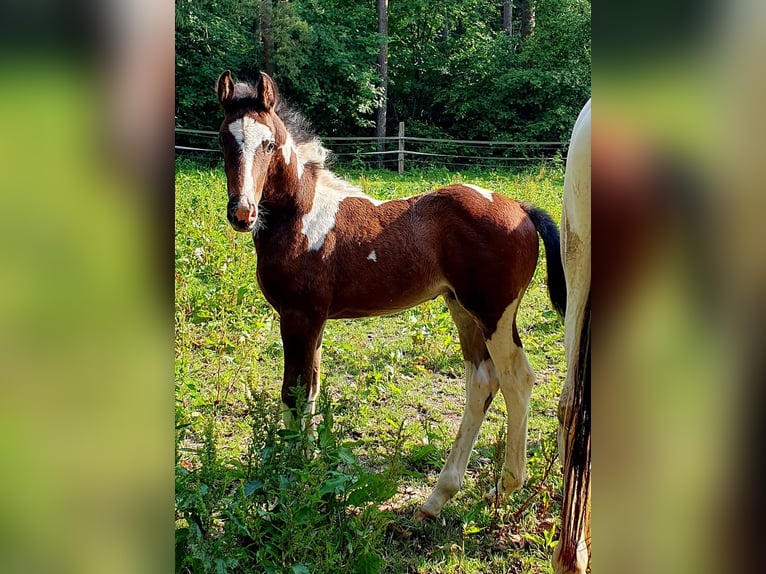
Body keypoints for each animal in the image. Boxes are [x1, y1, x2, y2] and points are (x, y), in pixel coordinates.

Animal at [216, 72, 568, 520]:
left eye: (268, 144)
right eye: (225, 139)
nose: (242, 213)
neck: (302, 217)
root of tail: (522, 209)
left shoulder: (297, 316)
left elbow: (293, 395)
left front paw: (287, 486)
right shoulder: (314, 321)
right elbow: (311, 391)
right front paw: (308, 474)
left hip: (494, 313)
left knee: (516, 379)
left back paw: (504, 487)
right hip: (462, 309)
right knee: (481, 382)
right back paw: (437, 499)